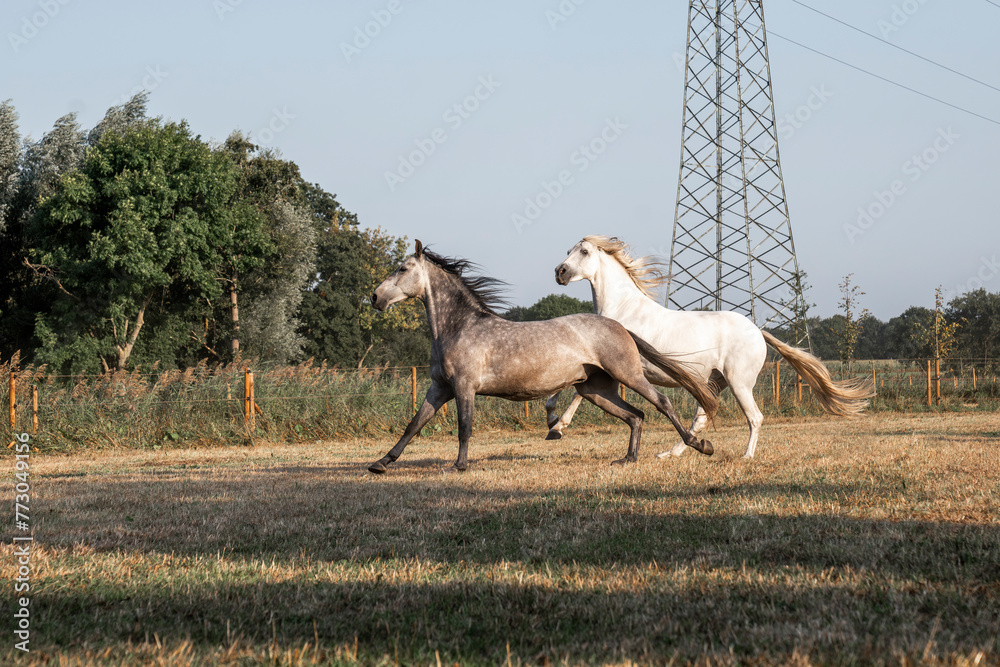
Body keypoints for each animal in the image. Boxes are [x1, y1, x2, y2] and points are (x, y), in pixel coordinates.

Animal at [367, 240, 720, 474]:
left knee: (661, 403)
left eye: (403, 268)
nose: (375, 297)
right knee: (636, 415)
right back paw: (627, 458)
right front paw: (380, 463)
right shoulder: (439, 387)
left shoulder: (464, 387)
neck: (459, 327)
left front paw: (459, 466)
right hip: (595, 389)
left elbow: (464, 426)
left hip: (627, 375)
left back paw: (700, 445)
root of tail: (619, 326)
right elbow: (414, 424)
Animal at [549, 235, 874, 459]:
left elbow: (574, 394)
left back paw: (745, 456)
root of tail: (757, 331)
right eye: (567, 251)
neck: (624, 310)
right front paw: (553, 423)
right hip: (712, 382)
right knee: (702, 419)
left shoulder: (618, 368)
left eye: (584, 251)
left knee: (754, 418)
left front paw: (556, 427)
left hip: (739, 383)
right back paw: (672, 453)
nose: (559, 272)